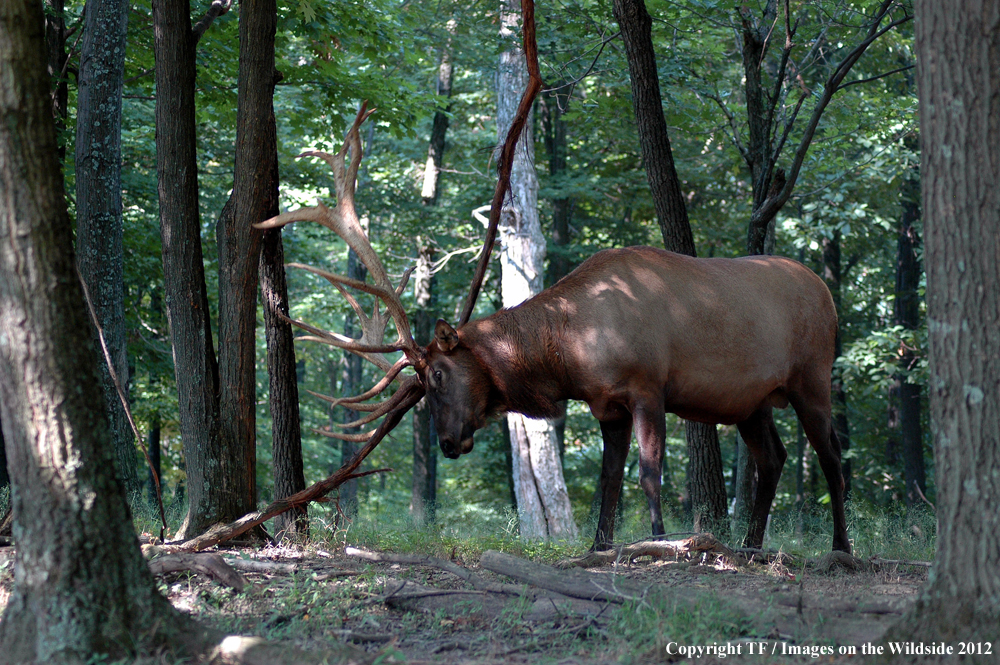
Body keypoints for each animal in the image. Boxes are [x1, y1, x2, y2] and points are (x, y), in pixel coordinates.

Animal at [258, 104, 852, 556]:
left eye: (439, 375)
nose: (448, 442)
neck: (571, 353)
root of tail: (826, 294)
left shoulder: (648, 386)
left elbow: (648, 472)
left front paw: (662, 541)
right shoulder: (607, 405)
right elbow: (609, 481)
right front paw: (600, 545)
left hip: (812, 376)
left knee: (831, 458)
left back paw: (841, 548)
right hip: (753, 401)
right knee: (773, 459)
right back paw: (751, 546)